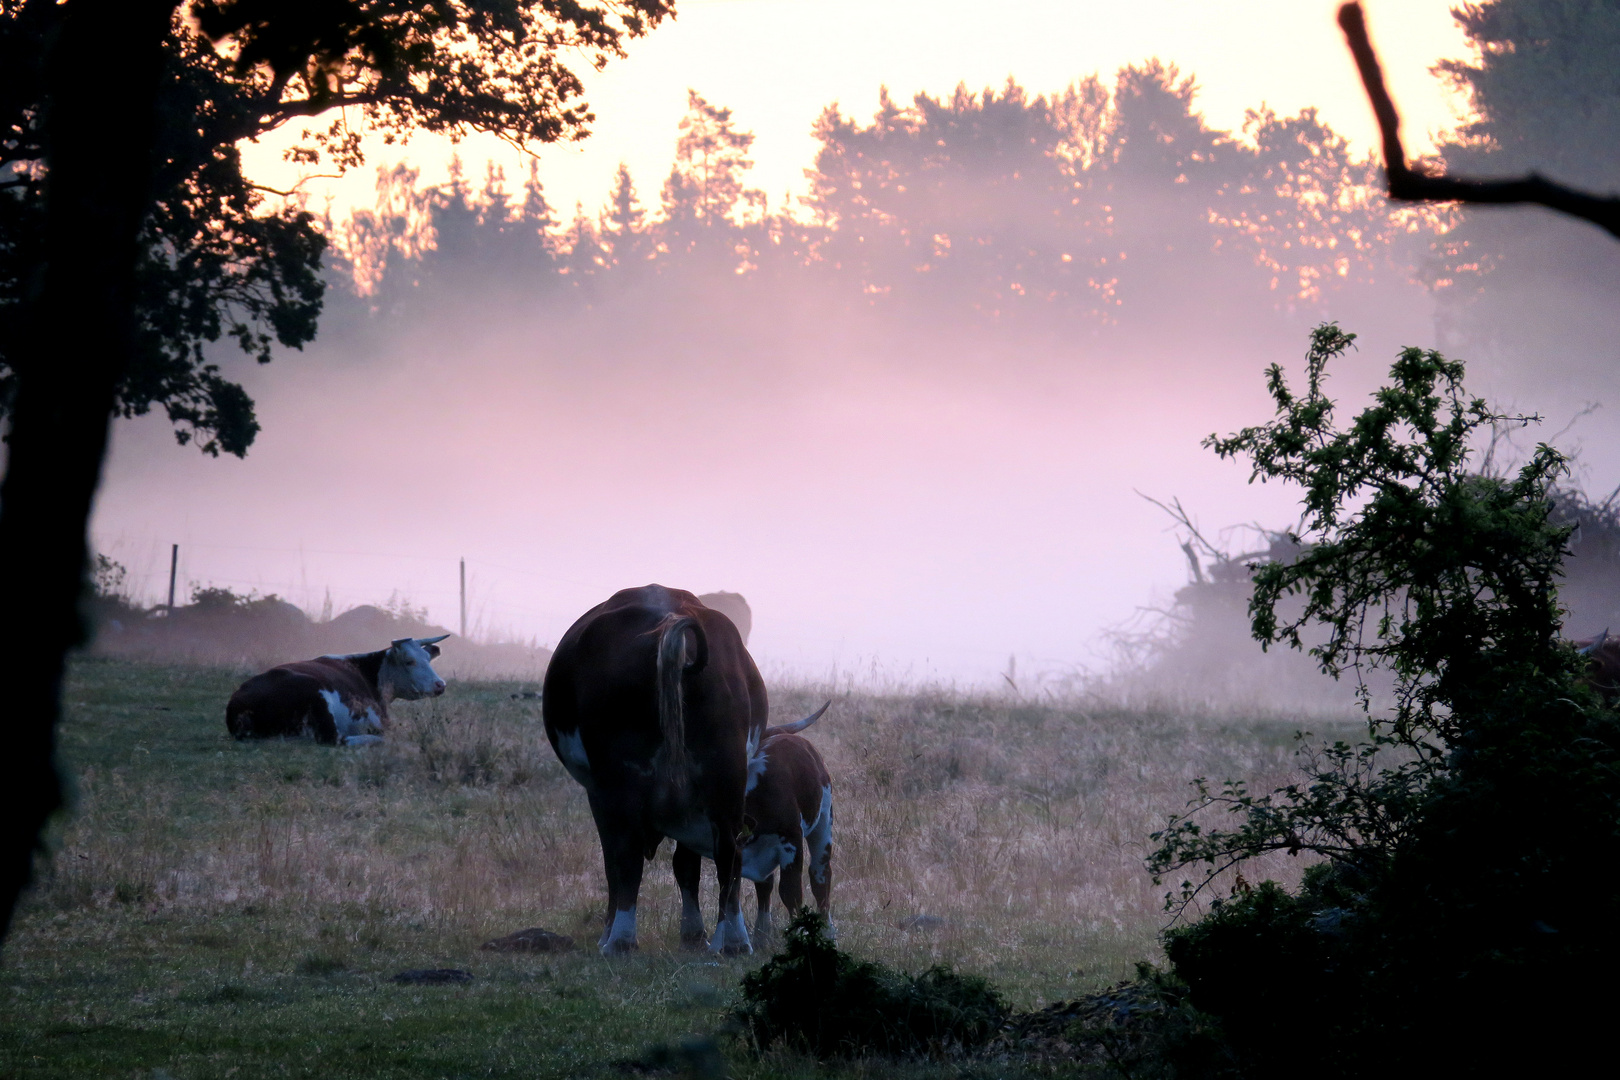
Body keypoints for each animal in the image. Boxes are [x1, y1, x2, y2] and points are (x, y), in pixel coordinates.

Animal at [225, 637, 447, 748]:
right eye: (409, 661)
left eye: (428, 658)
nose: (440, 684)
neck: (368, 672)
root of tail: (238, 700)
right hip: (316, 696)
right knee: (338, 740)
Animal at [550, 586, 810, 958]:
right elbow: (688, 865)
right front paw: (694, 932)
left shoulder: (599, 794)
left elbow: (616, 862)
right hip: (725, 772)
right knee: (728, 852)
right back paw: (734, 940)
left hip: (620, 781)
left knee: (626, 857)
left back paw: (620, 939)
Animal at [677, 702, 835, 945]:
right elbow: (725, 887)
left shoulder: (791, 840)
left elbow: (790, 891)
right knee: (765, 885)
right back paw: (761, 934)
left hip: (823, 821)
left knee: (820, 876)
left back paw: (828, 932)